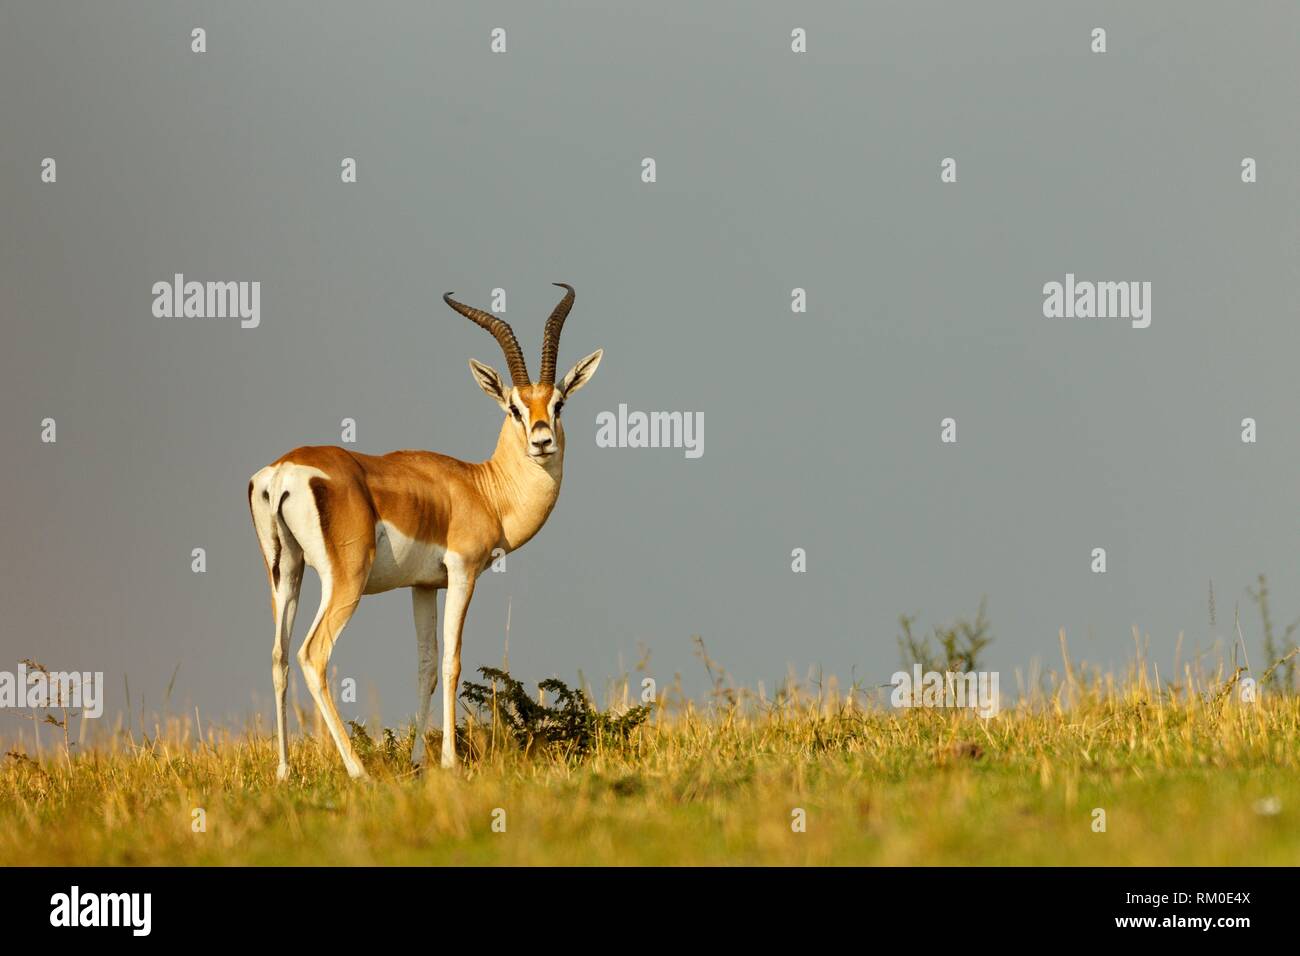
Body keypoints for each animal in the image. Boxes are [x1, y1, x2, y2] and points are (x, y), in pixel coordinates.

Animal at [247, 284, 602, 778]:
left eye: (558, 403)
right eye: (514, 407)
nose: (542, 440)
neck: (482, 488)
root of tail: (283, 471)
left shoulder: (423, 586)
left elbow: (427, 667)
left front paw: (419, 762)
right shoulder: (463, 572)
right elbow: (452, 661)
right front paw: (451, 762)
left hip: (285, 572)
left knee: (278, 656)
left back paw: (283, 771)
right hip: (344, 579)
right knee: (312, 655)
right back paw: (358, 770)